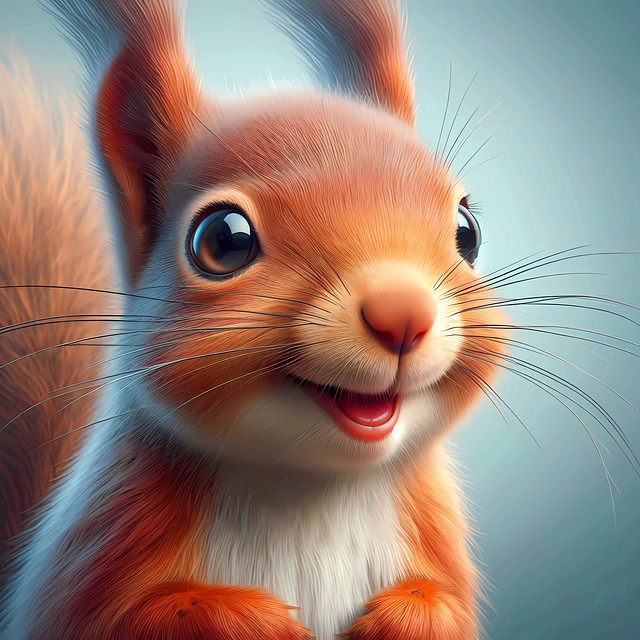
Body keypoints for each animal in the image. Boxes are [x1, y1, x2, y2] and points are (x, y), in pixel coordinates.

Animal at [0, 1, 510, 638]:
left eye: (468, 230)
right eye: (224, 239)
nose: (404, 313)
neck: (310, 484)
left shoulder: (428, 525)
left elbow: (447, 607)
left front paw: (403, 615)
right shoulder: (105, 540)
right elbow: (134, 616)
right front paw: (257, 620)